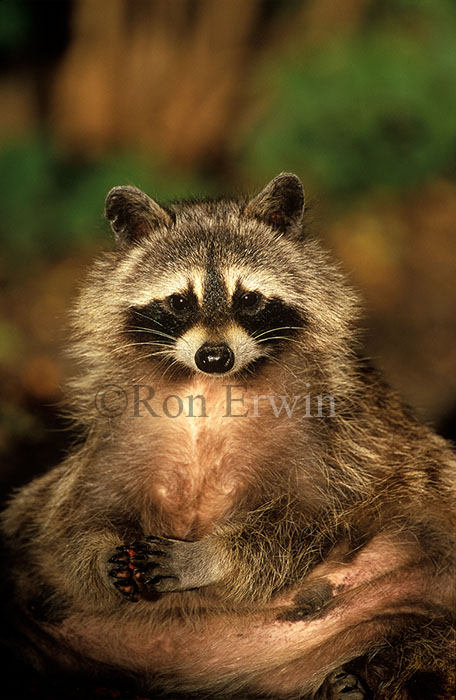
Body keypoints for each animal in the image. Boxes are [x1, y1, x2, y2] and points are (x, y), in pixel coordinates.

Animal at [1, 174, 456, 699]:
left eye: (249, 299)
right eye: (180, 301)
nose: (215, 357)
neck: (209, 392)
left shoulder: (336, 437)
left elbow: (302, 523)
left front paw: (209, 558)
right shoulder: (115, 434)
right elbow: (74, 520)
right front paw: (96, 556)